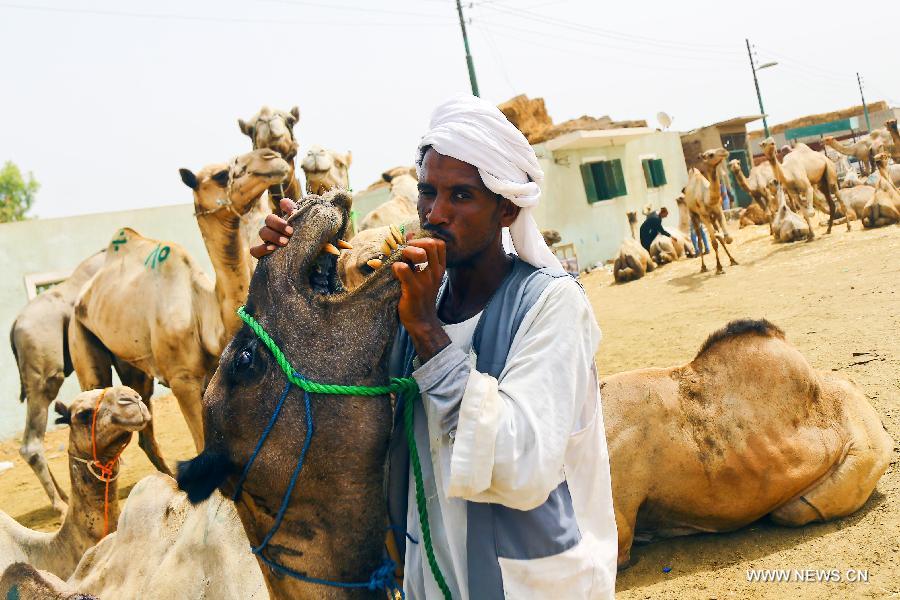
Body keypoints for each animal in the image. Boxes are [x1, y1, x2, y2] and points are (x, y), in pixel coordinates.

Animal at [69, 149, 289, 451]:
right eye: (221, 175)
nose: (272, 157)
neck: (206, 313)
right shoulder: (181, 379)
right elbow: (200, 443)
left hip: (133, 364)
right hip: (79, 337)